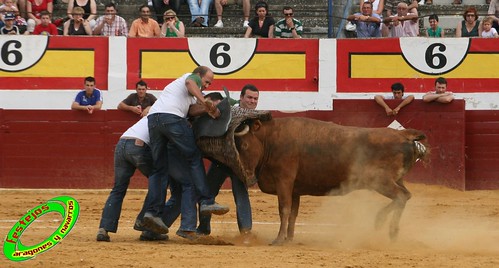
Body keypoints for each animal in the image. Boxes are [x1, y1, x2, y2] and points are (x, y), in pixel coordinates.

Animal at [232, 117, 428, 245]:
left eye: (245, 145)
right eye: (237, 146)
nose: (245, 173)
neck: (270, 139)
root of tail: (404, 135)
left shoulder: (284, 180)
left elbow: (284, 209)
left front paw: (279, 239)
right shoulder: (295, 189)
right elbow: (294, 213)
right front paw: (289, 238)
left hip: (381, 181)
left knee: (401, 196)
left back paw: (385, 226)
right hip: (395, 180)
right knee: (406, 196)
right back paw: (389, 229)